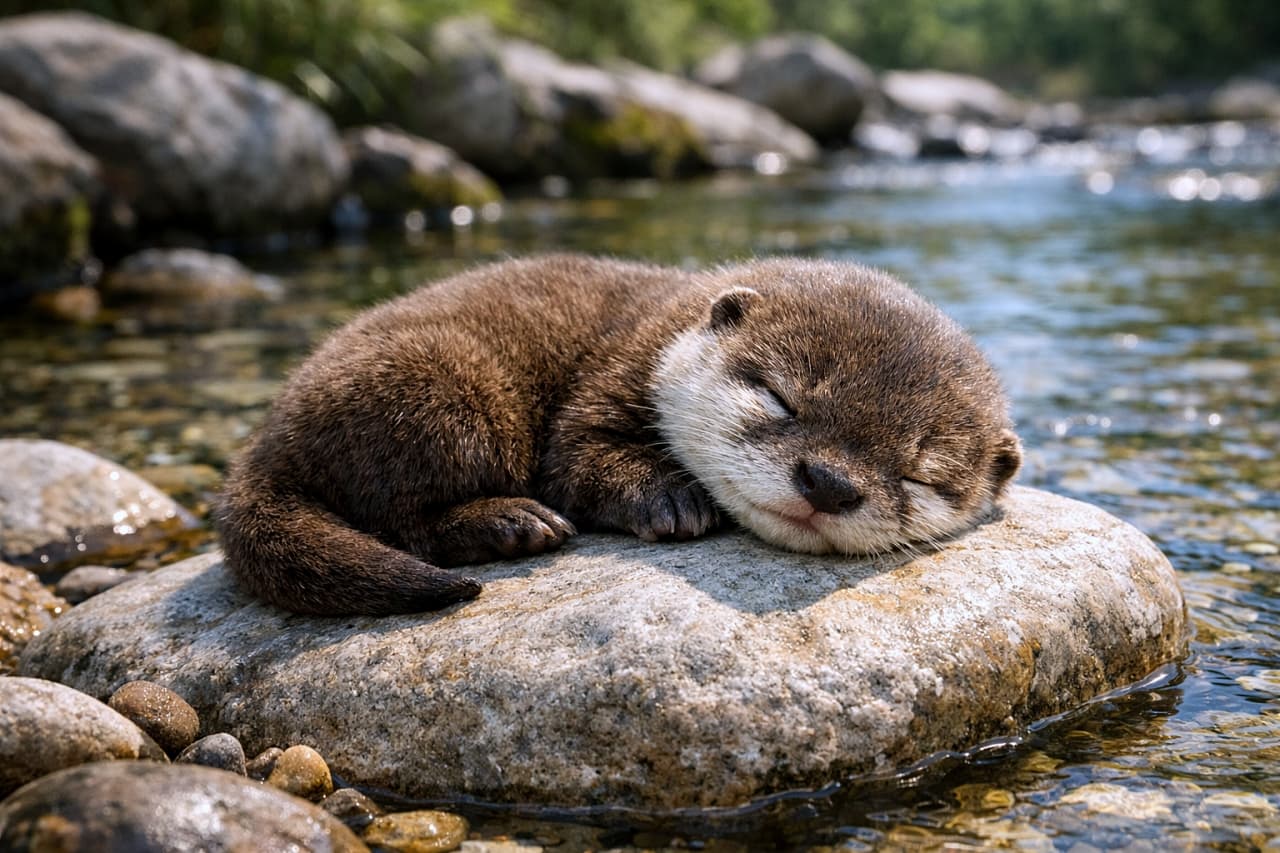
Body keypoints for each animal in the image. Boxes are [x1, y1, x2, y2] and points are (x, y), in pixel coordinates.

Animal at [218, 255, 1021, 616]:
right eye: (779, 396)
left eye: (920, 472)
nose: (829, 483)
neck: (663, 324)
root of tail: (267, 441)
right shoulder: (612, 373)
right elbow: (577, 460)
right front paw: (667, 499)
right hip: (448, 389)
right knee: (400, 519)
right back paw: (511, 522)